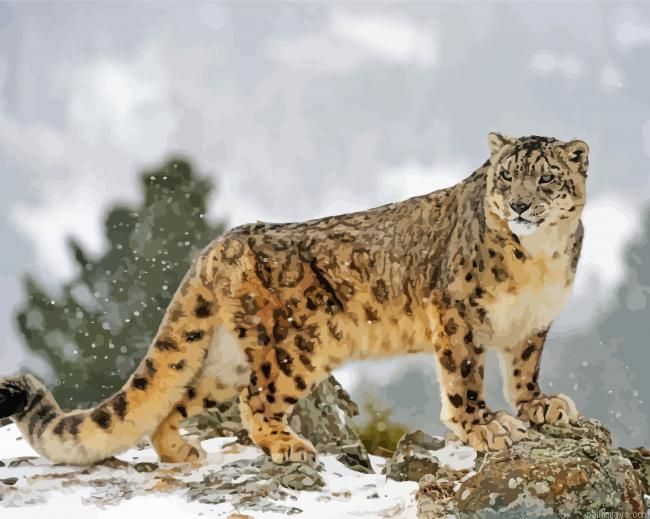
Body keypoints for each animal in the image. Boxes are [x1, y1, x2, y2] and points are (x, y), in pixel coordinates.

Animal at [0, 132, 588, 465]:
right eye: (506, 176)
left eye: (546, 178)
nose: (519, 205)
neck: (540, 259)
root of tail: (222, 242)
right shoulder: (458, 317)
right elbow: (465, 379)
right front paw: (487, 427)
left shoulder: (534, 324)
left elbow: (524, 370)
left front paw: (540, 406)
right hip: (293, 349)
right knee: (255, 399)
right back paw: (286, 445)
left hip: (226, 358)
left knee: (180, 397)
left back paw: (180, 451)